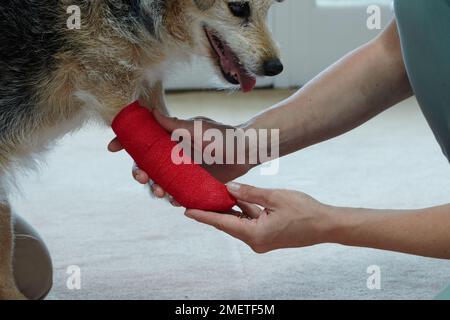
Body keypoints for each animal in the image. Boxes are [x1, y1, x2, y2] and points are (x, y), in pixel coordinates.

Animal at [0, 0, 282, 300]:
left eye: (271, 8)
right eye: (238, 8)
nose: (275, 67)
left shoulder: (142, 84)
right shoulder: (110, 86)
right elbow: (5, 239)